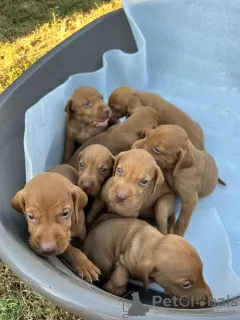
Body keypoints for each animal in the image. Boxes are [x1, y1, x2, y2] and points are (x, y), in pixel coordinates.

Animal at [82, 216, 212, 306]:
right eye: (186, 284)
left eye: (202, 273)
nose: (211, 301)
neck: (153, 244)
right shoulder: (124, 260)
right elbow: (120, 277)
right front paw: (114, 289)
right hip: (105, 262)